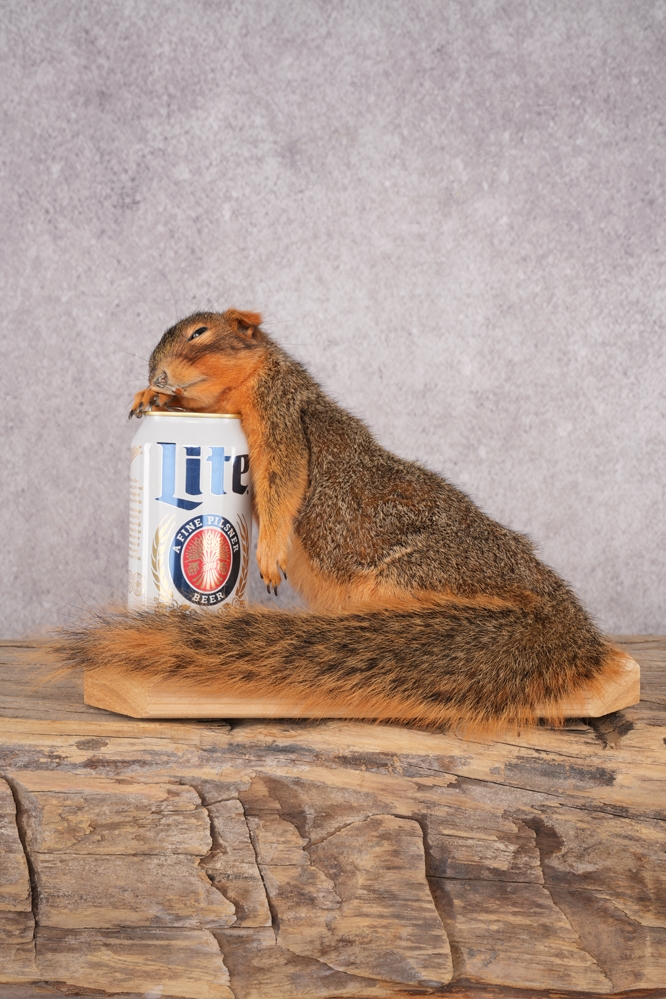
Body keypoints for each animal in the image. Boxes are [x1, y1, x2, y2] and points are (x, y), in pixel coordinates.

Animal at [52, 308, 626, 731]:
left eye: (200, 333)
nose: (158, 373)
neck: (252, 385)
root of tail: (555, 607)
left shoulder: (282, 419)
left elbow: (282, 485)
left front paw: (268, 555)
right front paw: (149, 396)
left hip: (414, 575)